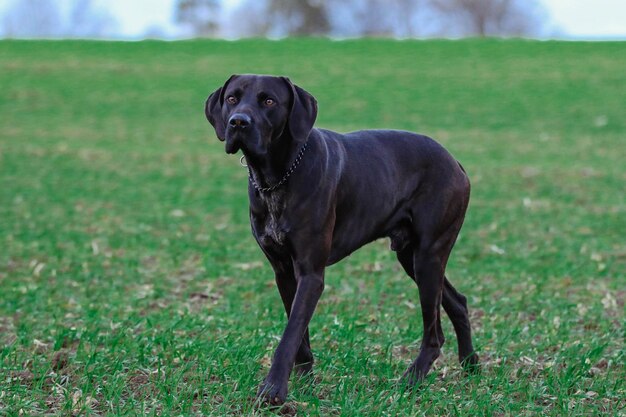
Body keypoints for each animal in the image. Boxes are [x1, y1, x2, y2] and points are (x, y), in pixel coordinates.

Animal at [206, 74, 478, 404]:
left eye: (268, 100)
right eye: (232, 98)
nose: (238, 122)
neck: (278, 176)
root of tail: (455, 162)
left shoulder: (311, 274)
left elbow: (290, 335)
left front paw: (272, 391)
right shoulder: (284, 272)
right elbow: (300, 336)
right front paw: (305, 383)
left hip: (428, 255)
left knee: (434, 333)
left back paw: (410, 381)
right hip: (412, 257)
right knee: (458, 302)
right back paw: (471, 365)